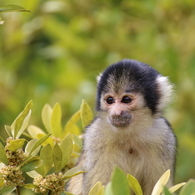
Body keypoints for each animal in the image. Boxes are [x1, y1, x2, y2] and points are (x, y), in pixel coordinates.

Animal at [67, 59, 177, 195]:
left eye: (126, 99)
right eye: (110, 100)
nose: (116, 113)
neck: (129, 134)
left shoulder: (164, 136)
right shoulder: (95, 136)